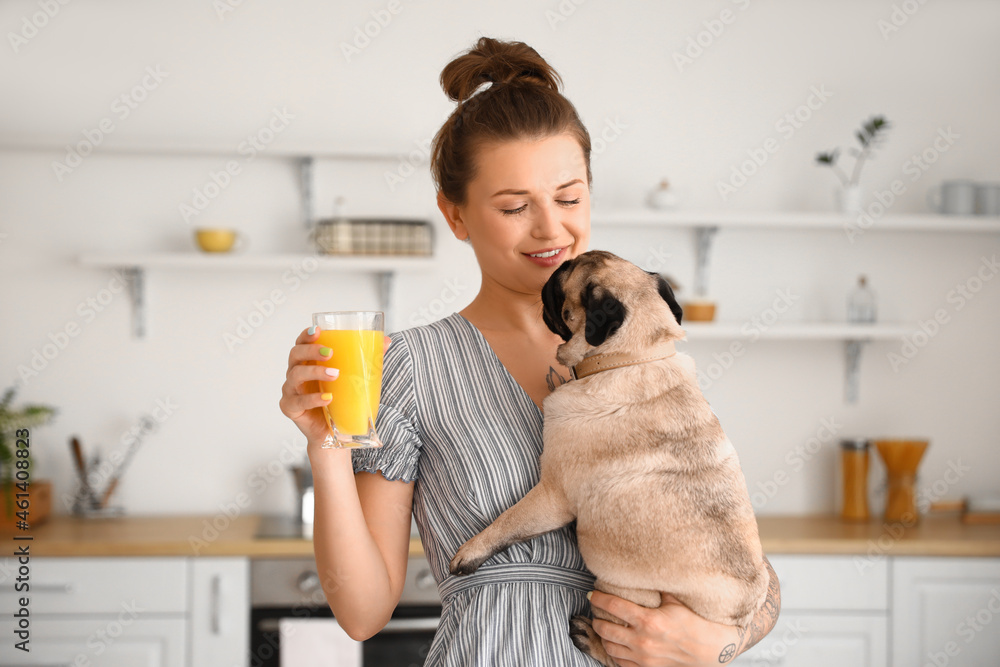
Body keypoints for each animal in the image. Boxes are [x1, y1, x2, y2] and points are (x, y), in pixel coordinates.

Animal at [450, 252, 768, 667]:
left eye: (563, 280)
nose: (557, 266)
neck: (630, 358)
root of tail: (734, 615)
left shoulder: (552, 494)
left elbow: (506, 522)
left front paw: (469, 553)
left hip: (617, 593)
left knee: (620, 656)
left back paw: (589, 638)